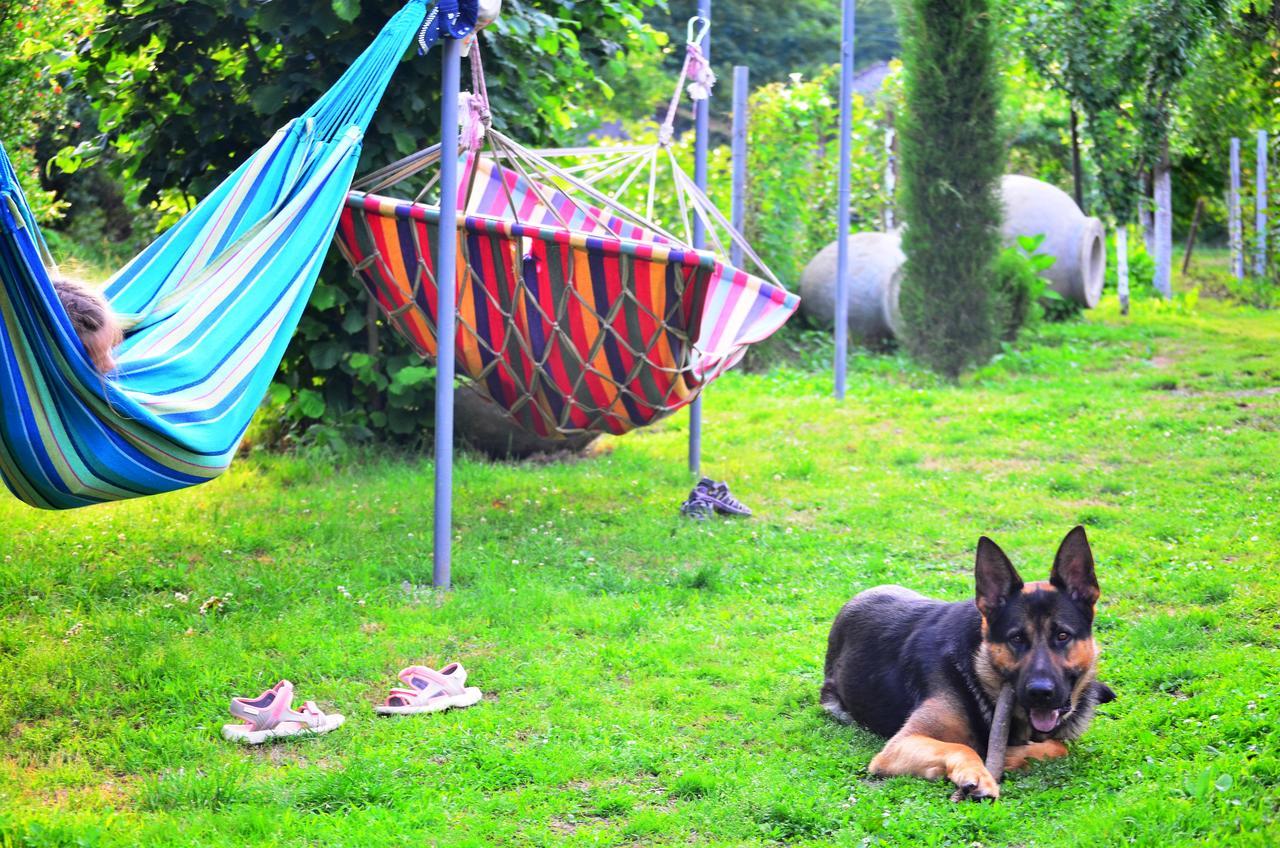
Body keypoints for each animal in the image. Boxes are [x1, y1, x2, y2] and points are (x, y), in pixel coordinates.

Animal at [824, 527, 1116, 799]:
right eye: (1017, 638)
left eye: (1062, 636)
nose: (1040, 693)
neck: (979, 670)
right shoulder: (900, 745)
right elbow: (961, 746)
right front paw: (979, 772)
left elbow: (1059, 745)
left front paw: (1010, 756)